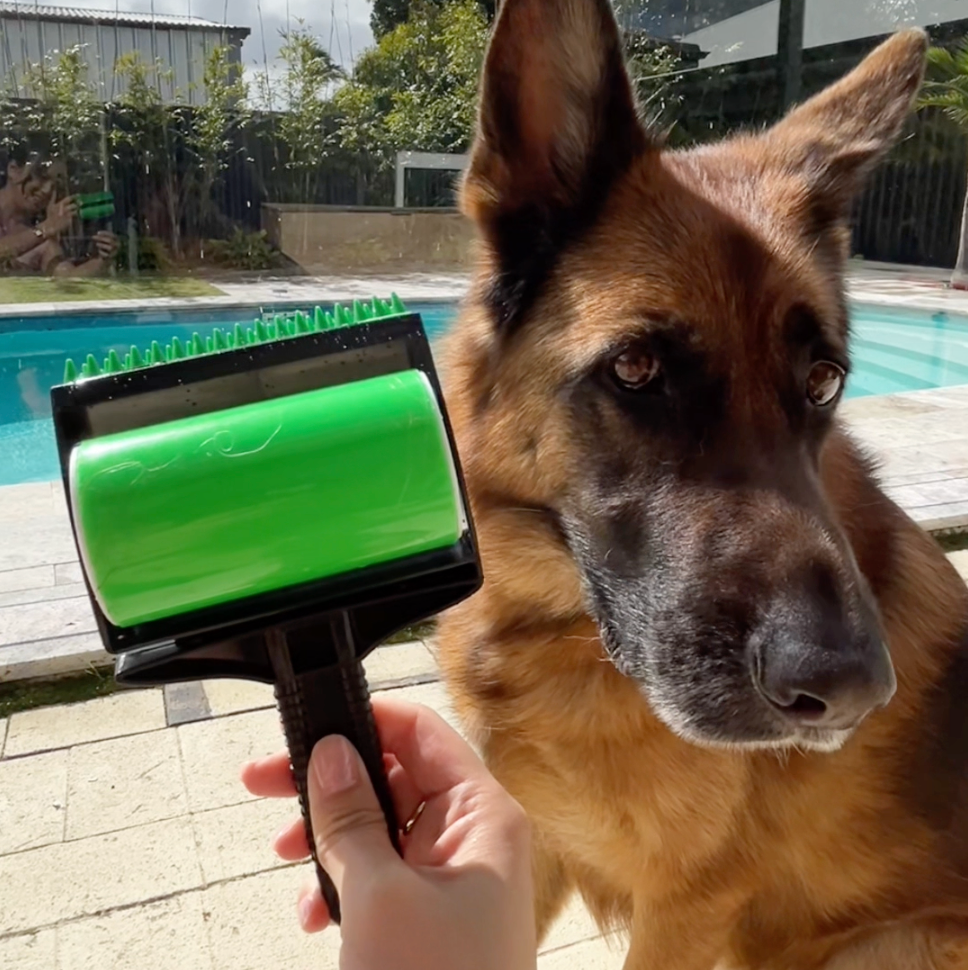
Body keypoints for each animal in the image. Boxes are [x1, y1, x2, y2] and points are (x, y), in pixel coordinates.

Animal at [434, 1, 968, 968]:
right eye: (637, 369)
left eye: (824, 382)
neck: (551, 626)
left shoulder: (683, 910)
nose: (851, 694)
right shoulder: (533, 843)